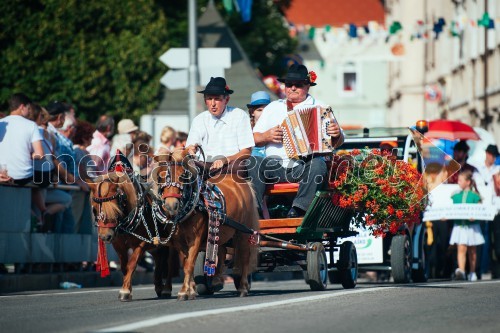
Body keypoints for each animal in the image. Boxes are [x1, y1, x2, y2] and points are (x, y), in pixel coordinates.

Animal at [88, 171, 176, 300]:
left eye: (115, 209)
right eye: (94, 209)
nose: (105, 237)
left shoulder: (142, 243)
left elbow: (132, 264)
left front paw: (124, 291)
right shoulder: (118, 244)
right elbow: (124, 267)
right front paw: (128, 288)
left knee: (170, 264)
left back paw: (166, 289)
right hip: (155, 246)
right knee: (159, 259)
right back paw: (159, 287)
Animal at [151, 148, 260, 298]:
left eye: (183, 176)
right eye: (160, 177)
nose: (171, 205)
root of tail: (243, 183)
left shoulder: (195, 238)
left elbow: (189, 263)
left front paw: (184, 291)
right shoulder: (178, 241)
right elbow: (186, 262)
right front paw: (191, 289)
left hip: (243, 230)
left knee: (244, 256)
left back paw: (243, 287)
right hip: (223, 230)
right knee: (221, 250)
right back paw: (216, 280)